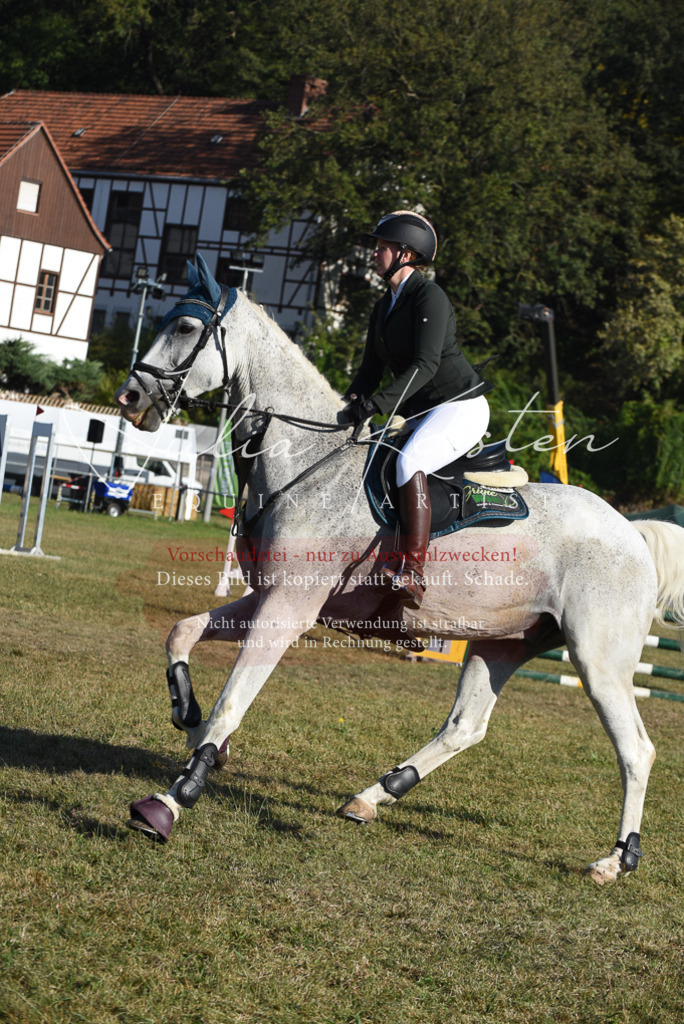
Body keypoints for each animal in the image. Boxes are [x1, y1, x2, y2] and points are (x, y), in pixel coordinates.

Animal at [114, 256, 684, 883]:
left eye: (186, 328)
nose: (130, 397)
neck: (305, 461)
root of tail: (631, 531)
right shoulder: (268, 598)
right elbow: (182, 633)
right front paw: (192, 724)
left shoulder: (287, 610)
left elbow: (232, 701)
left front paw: (170, 801)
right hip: (503, 641)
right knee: (466, 726)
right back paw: (373, 795)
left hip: (597, 659)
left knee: (635, 749)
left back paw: (617, 858)